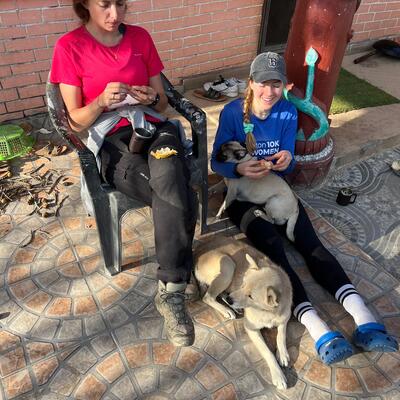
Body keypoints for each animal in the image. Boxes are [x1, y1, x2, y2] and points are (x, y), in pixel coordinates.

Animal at [194, 236, 293, 389]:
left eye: (250, 296)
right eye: (243, 284)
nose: (230, 300)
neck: (268, 312)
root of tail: (197, 250)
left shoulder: (285, 316)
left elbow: (281, 334)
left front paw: (282, 354)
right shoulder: (251, 328)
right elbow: (268, 352)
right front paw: (278, 375)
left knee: (218, 293)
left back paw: (232, 305)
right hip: (227, 265)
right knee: (208, 296)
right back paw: (227, 309)